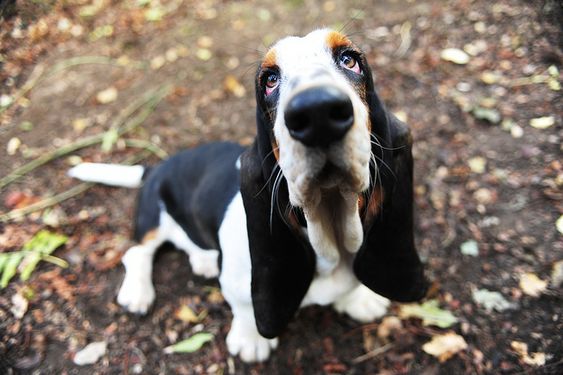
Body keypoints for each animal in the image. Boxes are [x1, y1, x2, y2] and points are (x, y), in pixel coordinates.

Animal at [70, 29, 430, 364]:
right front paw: (251, 340)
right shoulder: (239, 284)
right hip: (153, 217)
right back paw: (138, 292)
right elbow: (244, 308)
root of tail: (155, 168)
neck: (330, 240)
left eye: (349, 60)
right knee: (138, 253)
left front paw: (360, 300)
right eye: (269, 80)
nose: (317, 111)